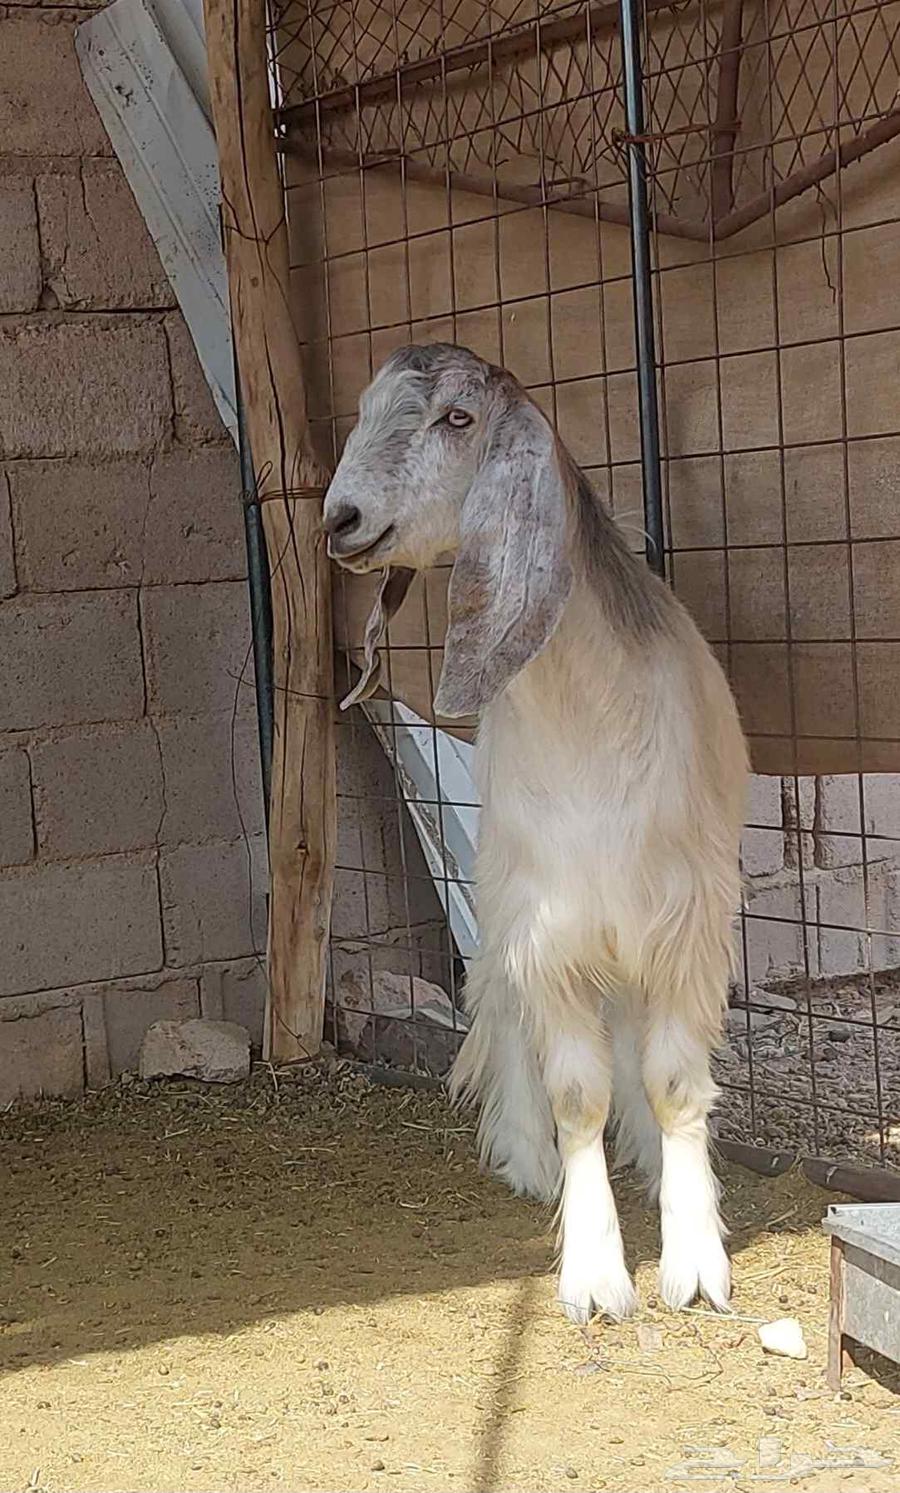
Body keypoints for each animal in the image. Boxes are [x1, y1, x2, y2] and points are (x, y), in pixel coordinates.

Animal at [323, 344, 749, 1324]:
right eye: (363, 409)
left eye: (457, 418)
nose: (340, 518)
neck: (590, 717)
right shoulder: (546, 924)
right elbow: (577, 1093)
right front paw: (593, 1270)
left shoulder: (683, 921)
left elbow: (675, 1083)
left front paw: (695, 1256)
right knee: (505, 1001)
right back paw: (526, 1152)